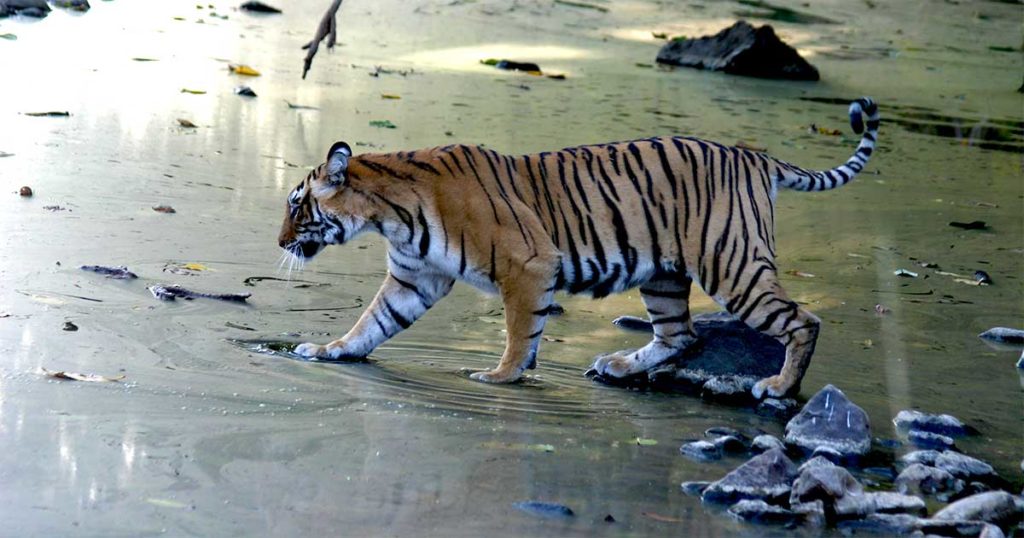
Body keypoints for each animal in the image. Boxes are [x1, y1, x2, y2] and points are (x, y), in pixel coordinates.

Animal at [278, 98, 879, 399]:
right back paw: (616, 366)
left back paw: (778, 385)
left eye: (296, 204)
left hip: (731, 266)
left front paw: (501, 377)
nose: (279, 241)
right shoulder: (413, 277)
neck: (390, 215)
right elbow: (372, 323)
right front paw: (330, 350)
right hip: (663, 276)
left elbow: (520, 331)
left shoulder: (527, 264)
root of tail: (756, 156)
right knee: (679, 336)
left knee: (803, 321)